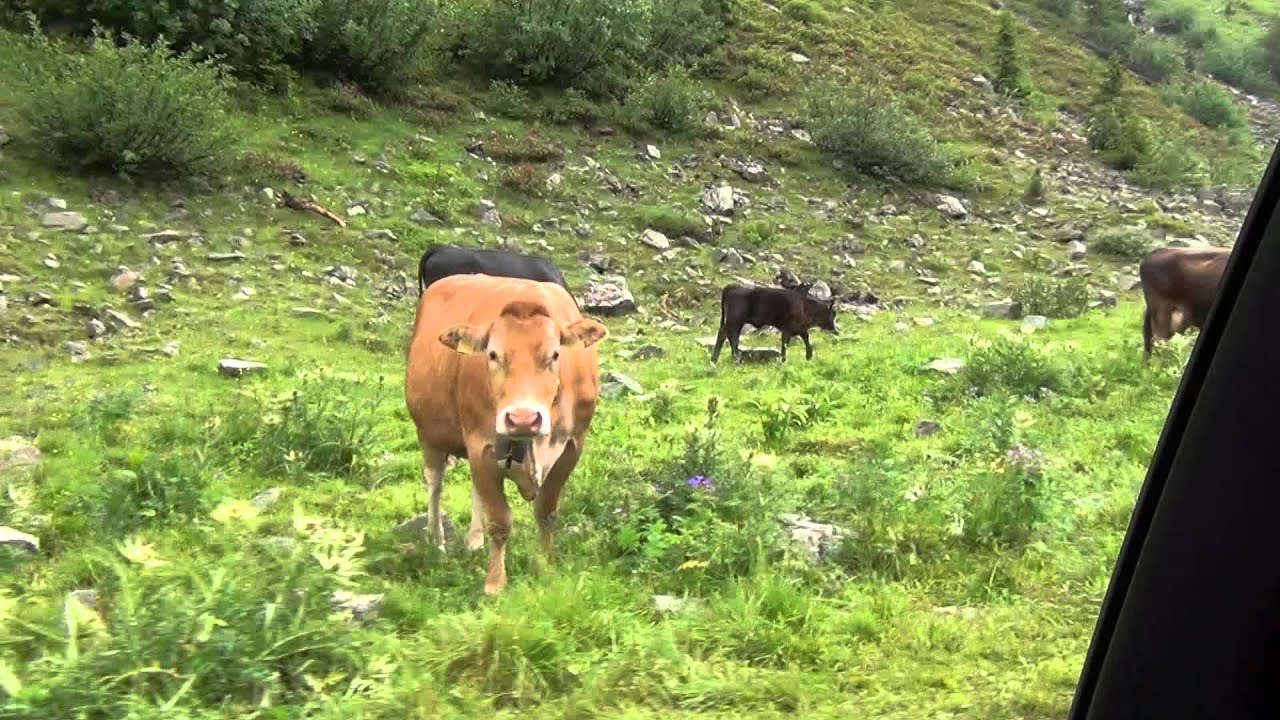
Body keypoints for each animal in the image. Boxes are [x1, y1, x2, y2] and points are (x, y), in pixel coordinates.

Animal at [404, 273, 607, 595]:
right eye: (492, 354)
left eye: (555, 354)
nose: (523, 418)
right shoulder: (481, 446)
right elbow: (499, 521)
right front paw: (495, 583)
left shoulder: (573, 446)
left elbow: (546, 511)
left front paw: (545, 566)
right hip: (428, 433)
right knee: (435, 486)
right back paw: (436, 541)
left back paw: (474, 541)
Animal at [710, 283, 838, 364]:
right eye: (833, 313)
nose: (835, 329)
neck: (805, 305)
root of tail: (732, 286)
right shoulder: (787, 329)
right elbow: (785, 345)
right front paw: (783, 359)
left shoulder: (801, 329)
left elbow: (806, 340)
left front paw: (809, 356)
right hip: (734, 321)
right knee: (727, 335)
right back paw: (723, 358)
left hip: (736, 322)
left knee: (730, 336)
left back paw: (728, 358)